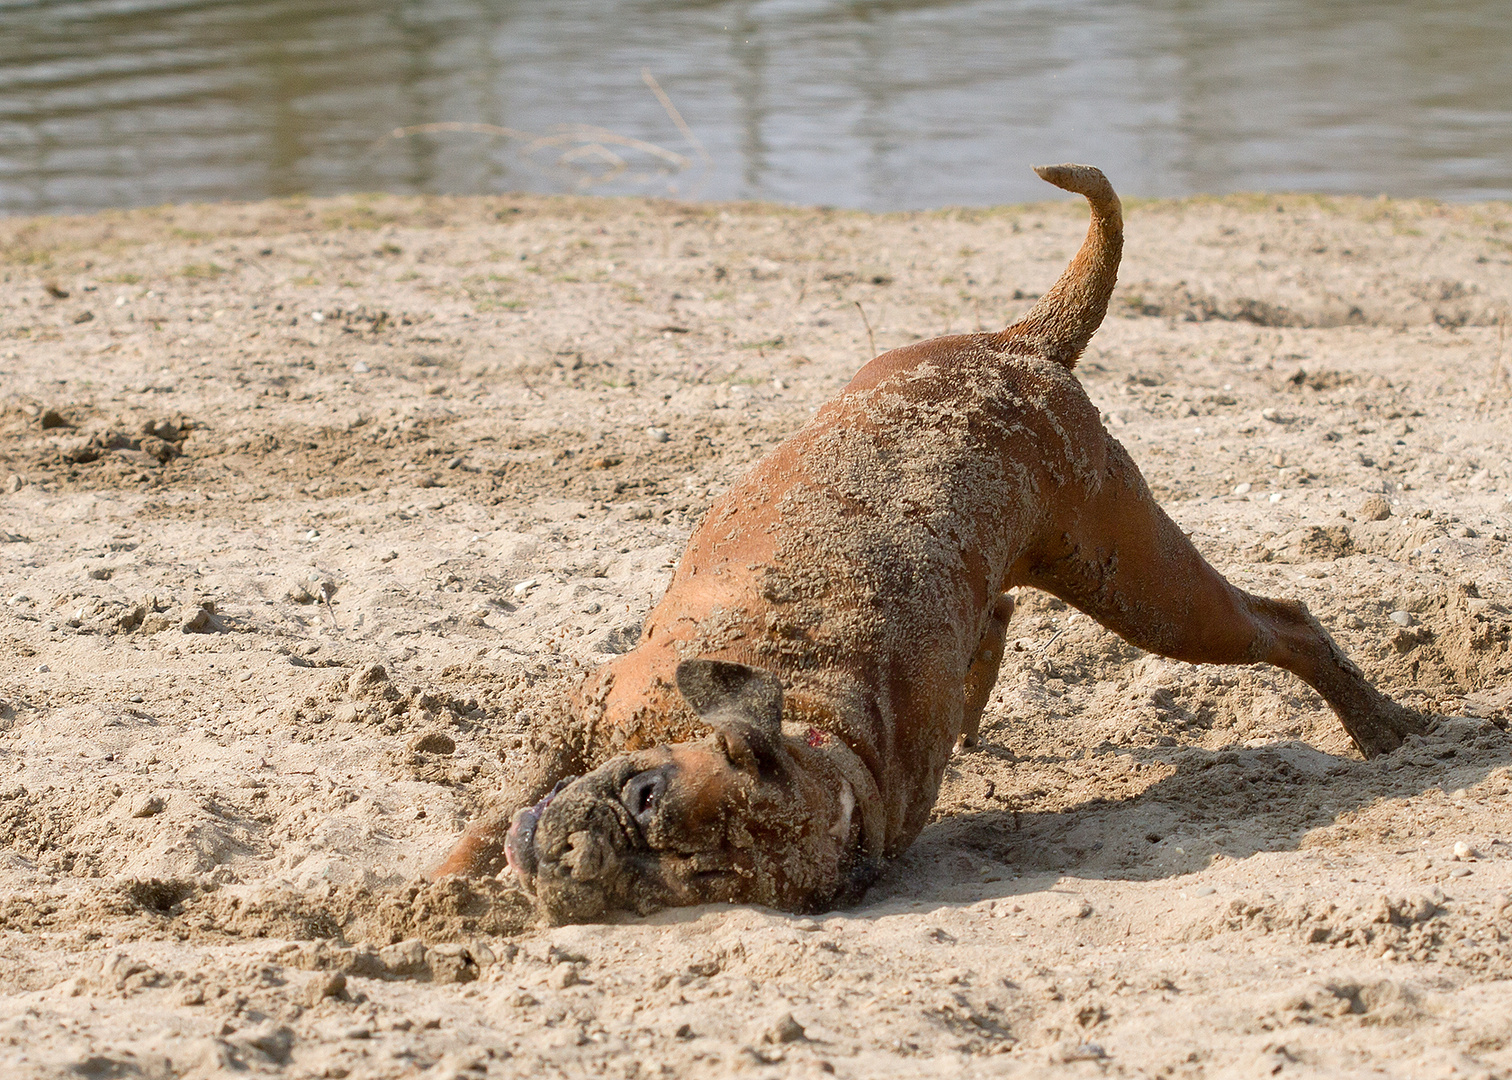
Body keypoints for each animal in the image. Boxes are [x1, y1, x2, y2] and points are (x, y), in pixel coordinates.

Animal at [432, 164, 1421, 919]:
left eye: (693, 885)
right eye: (643, 797)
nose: (585, 865)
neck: (824, 735)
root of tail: (1028, 349)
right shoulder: (581, 712)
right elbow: (488, 818)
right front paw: (440, 882)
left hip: (1149, 596)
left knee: (1280, 623)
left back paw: (1381, 729)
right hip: (1131, 581)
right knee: (1024, 613)